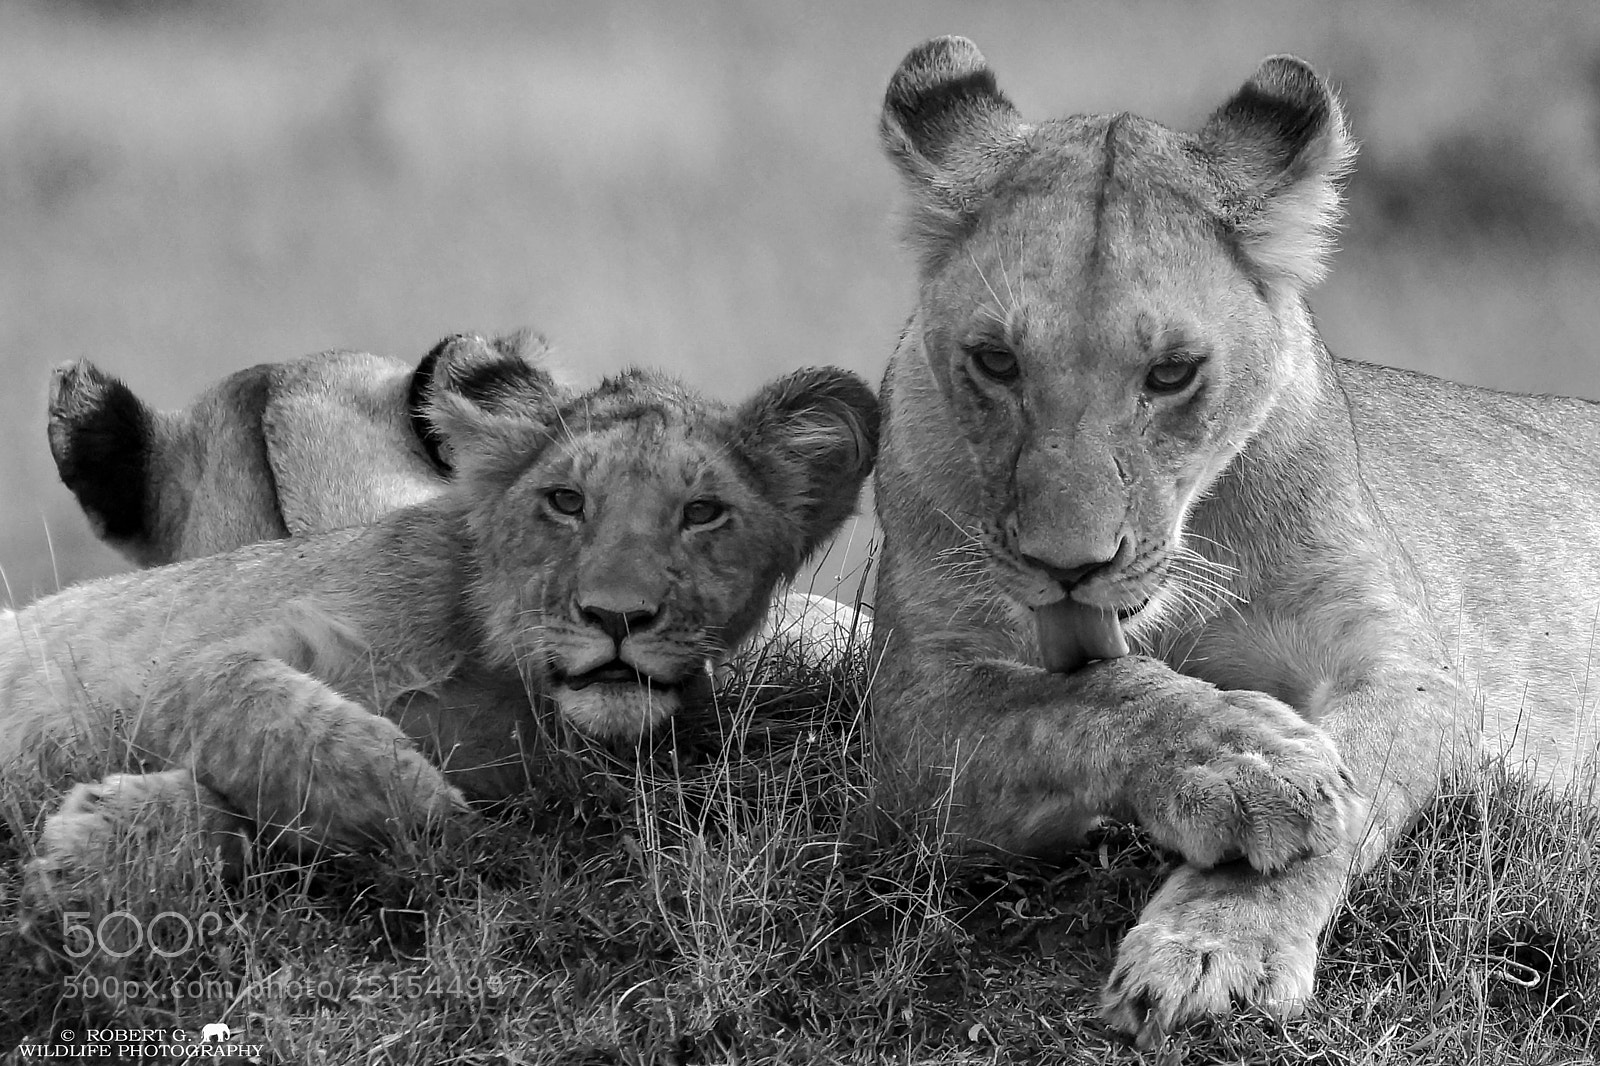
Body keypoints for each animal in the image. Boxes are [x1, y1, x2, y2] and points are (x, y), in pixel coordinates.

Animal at [871, 36, 1600, 1046]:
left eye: (1172, 373)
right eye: (995, 362)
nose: (1069, 568)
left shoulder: (1406, 667)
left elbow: (1354, 785)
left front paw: (1216, 947)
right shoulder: (910, 715)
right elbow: (1081, 701)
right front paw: (1245, 763)